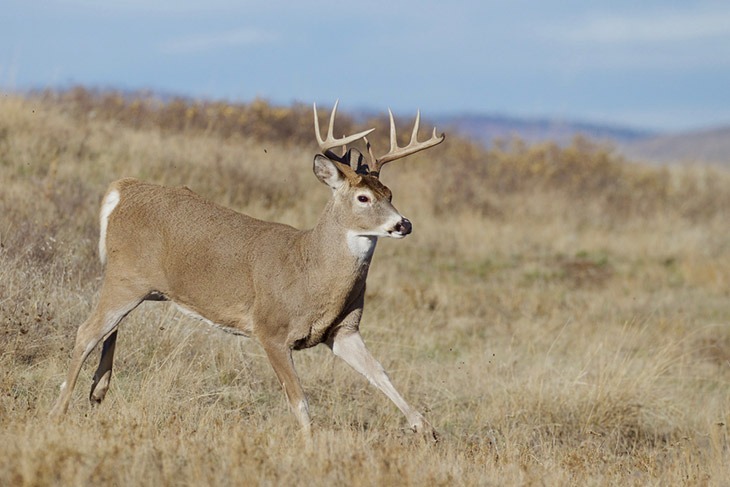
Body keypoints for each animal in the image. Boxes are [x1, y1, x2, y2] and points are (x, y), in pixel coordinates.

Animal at [51, 101, 444, 440]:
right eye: (363, 198)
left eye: (389, 193)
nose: (403, 224)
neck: (309, 271)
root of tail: (122, 189)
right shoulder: (270, 328)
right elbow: (299, 401)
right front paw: (310, 446)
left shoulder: (343, 329)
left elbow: (380, 373)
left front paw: (425, 429)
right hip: (126, 277)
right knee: (87, 332)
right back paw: (60, 409)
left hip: (142, 286)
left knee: (110, 328)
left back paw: (98, 390)